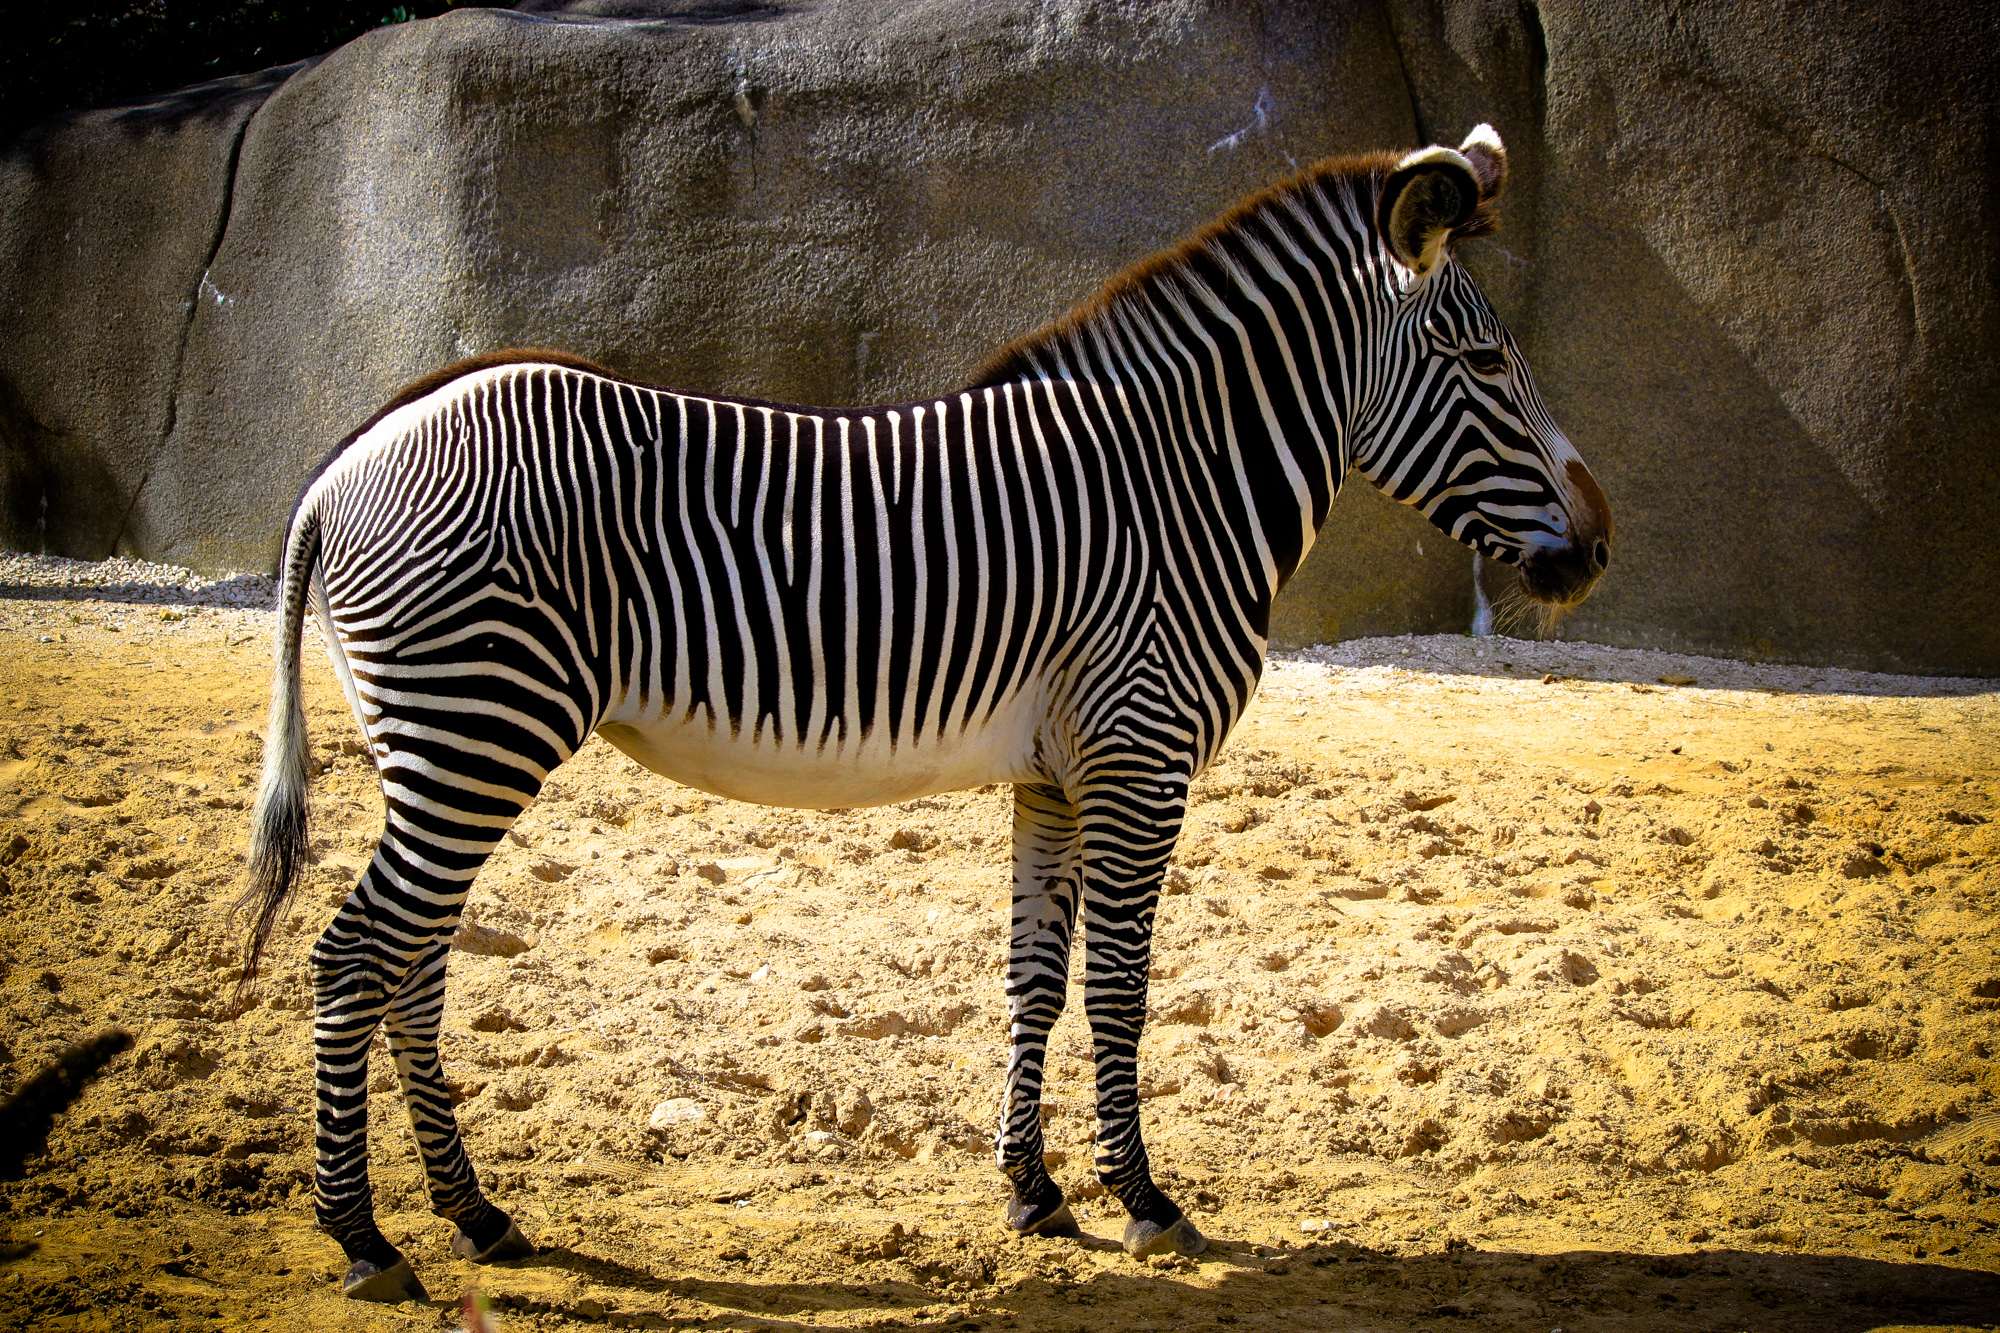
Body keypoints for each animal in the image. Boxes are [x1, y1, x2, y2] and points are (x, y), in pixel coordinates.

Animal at [238, 127, 1608, 1296]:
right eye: (1485, 362)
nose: (1595, 552)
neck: (1176, 486)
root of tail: (342, 463)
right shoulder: (1141, 755)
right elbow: (1119, 986)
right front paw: (1143, 1201)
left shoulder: (1058, 772)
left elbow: (1033, 979)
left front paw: (1031, 1191)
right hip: (478, 726)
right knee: (354, 957)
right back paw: (362, 1236)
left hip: (448, 746)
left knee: (412, 965)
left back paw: (475, 1213)